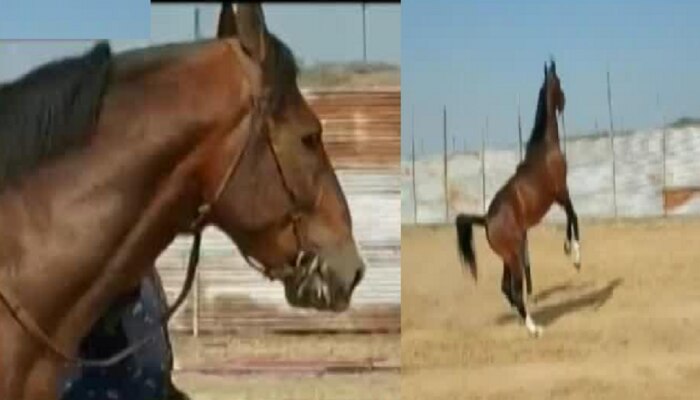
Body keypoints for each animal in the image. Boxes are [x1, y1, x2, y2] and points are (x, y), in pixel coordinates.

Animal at [454, 61, 580, 336]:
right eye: (559, 82)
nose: (565, 101)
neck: (545, 147)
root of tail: (486, 219)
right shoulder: (561, 193)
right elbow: (573, 217)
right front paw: (575, 255)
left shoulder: (560, 197)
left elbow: (571, 218)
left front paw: (569, 249)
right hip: (513, 255)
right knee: (512, 288)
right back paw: (534, 328)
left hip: (507, 256)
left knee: (506, 288)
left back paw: (525, 321)